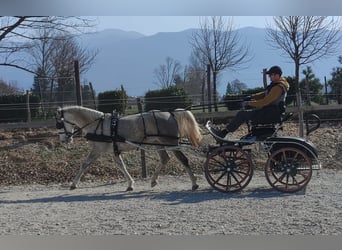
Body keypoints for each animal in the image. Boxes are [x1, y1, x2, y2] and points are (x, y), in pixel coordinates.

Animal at [54, 105, 202, 191]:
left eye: (59, 123)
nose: (63, 139)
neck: (97, 125)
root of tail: (171, 114)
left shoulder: (97, 150)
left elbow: (84, 164)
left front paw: (73, 184)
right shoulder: (114, 151)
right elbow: (121, 165)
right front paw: (130, 184)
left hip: (170, 143)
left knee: (183, 160)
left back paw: (194, 183)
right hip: (158, 143)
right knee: (165, 159)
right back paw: (153, 181)